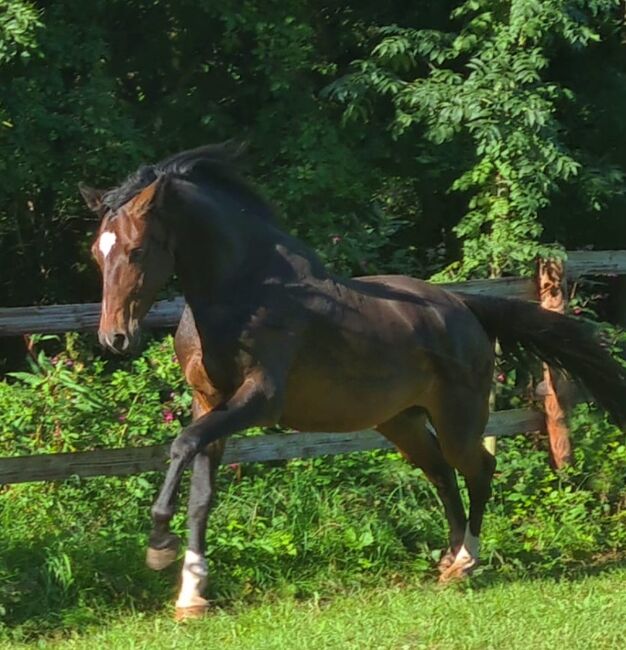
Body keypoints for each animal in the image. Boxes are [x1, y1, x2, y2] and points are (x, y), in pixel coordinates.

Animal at [79, 143, 624, 616]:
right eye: (96, 253)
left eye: (136, 249)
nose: (115, 338)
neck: (243, 293)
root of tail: (465, 307)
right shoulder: (209, 402)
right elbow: (200, 493)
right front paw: (191, 595)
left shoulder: (259, 399)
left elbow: (182, 444)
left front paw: (158, 545)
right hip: (402, 423)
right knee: (443, 475)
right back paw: (448, 564)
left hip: (458, 420)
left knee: (477, 469)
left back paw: (468, 560)